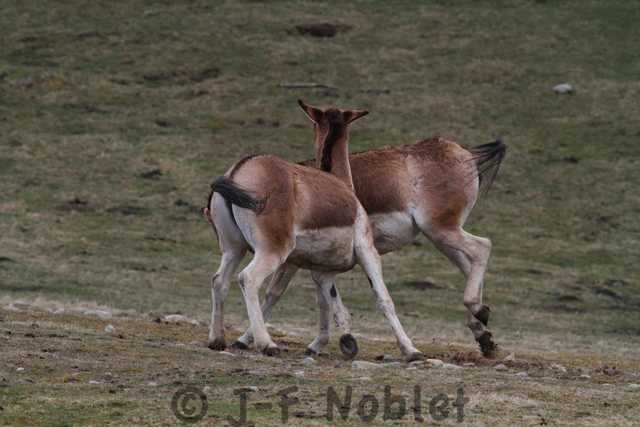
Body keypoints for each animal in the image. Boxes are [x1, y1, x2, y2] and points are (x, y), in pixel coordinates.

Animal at [203, 101, 424, 362]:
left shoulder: (320, 269)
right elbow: (383, 298)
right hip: (272, 252)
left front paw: (337, 342)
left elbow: (326, 300)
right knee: (248, 278)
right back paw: (267, 344)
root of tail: (240, 169)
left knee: (219, 281)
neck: (342, 185)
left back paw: (217, 340)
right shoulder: (367, 252)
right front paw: (411, 350)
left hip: (233, 249)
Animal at [233, 101, 506, 358]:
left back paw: (477, 313)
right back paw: (483, 331)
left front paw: (248, 339)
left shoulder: (298, 258)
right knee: (470, 263)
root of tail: (462, 152)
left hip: (441, 229)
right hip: (442, 235)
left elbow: (278, 292)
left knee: (482, 247)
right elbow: (317, 294)